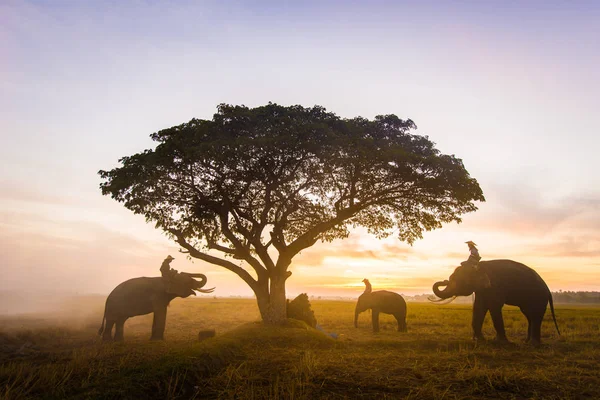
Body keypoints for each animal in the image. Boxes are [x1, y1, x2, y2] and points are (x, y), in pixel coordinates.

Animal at [428, 260, 560, 344]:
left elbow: (494, 306)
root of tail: (548, 290)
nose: (444, 280)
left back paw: (533, 344)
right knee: (529, 315)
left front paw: (502, 342)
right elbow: (479, 307)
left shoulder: (495, 287)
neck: (477, 266)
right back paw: (526, 342)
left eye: (455, 280)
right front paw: (480, 340)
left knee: (535, 315)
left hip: (539, 298)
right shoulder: (482, 290)